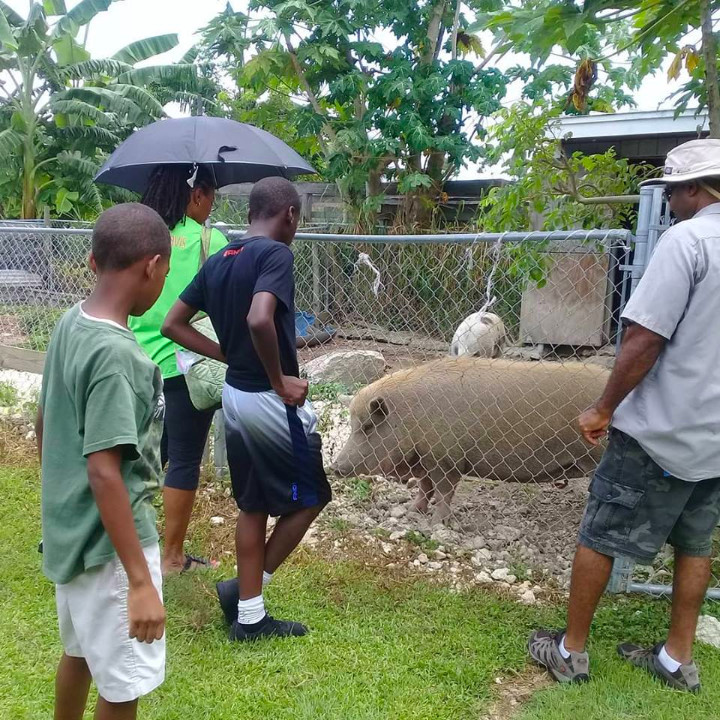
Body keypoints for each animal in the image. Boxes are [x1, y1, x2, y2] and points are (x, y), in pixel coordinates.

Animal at [332, 358, 608, 524]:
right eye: (353, 426)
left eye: (368, 426)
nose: (334, 467)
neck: (410, 417)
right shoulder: (424, 459)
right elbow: (424, 488)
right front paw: (412, 512)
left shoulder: (446, 459)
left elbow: (443, 491)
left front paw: (438, 523)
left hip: (596, 457)